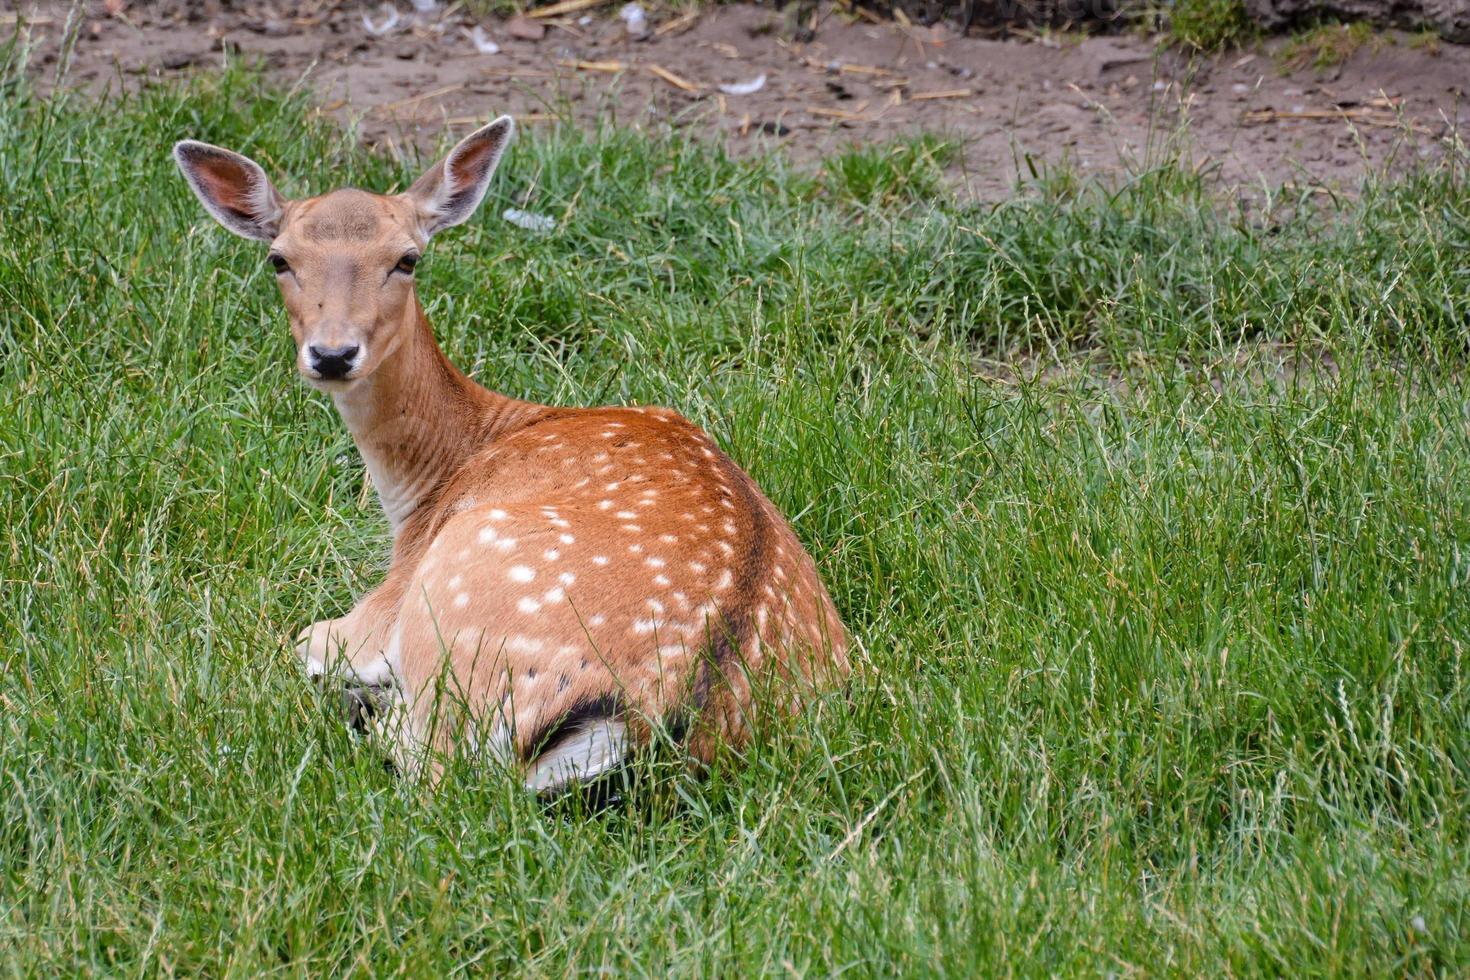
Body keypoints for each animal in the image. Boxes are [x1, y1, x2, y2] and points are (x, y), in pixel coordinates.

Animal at [171, 115, 852, 793]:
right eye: (279, 259)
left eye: (407, 258)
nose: (333, 354)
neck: (428, 483)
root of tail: (659, 724)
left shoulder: (379, 608)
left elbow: (305, 641)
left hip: (452, 604)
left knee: (425, 759)